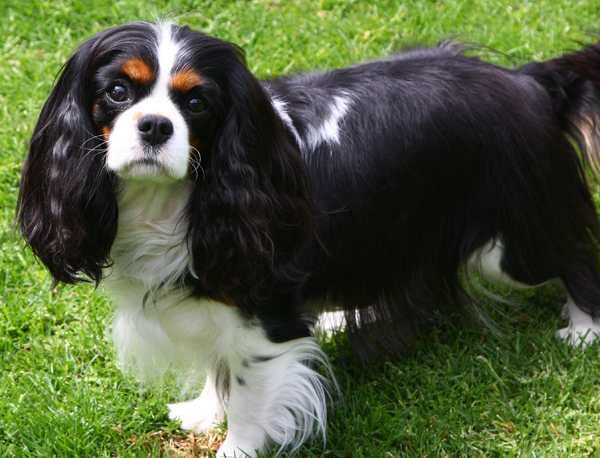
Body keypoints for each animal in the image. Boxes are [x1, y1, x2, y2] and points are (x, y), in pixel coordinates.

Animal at [15, 22, 600, 458]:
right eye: (118, 92)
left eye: (198, 103)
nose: (156, 125)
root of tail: (527, 80)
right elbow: (218, 365)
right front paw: (205, 411)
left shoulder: (262, 310)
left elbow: (248, 394)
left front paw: (235, 446)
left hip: (511, 244)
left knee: (575, 254)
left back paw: (583, 330)